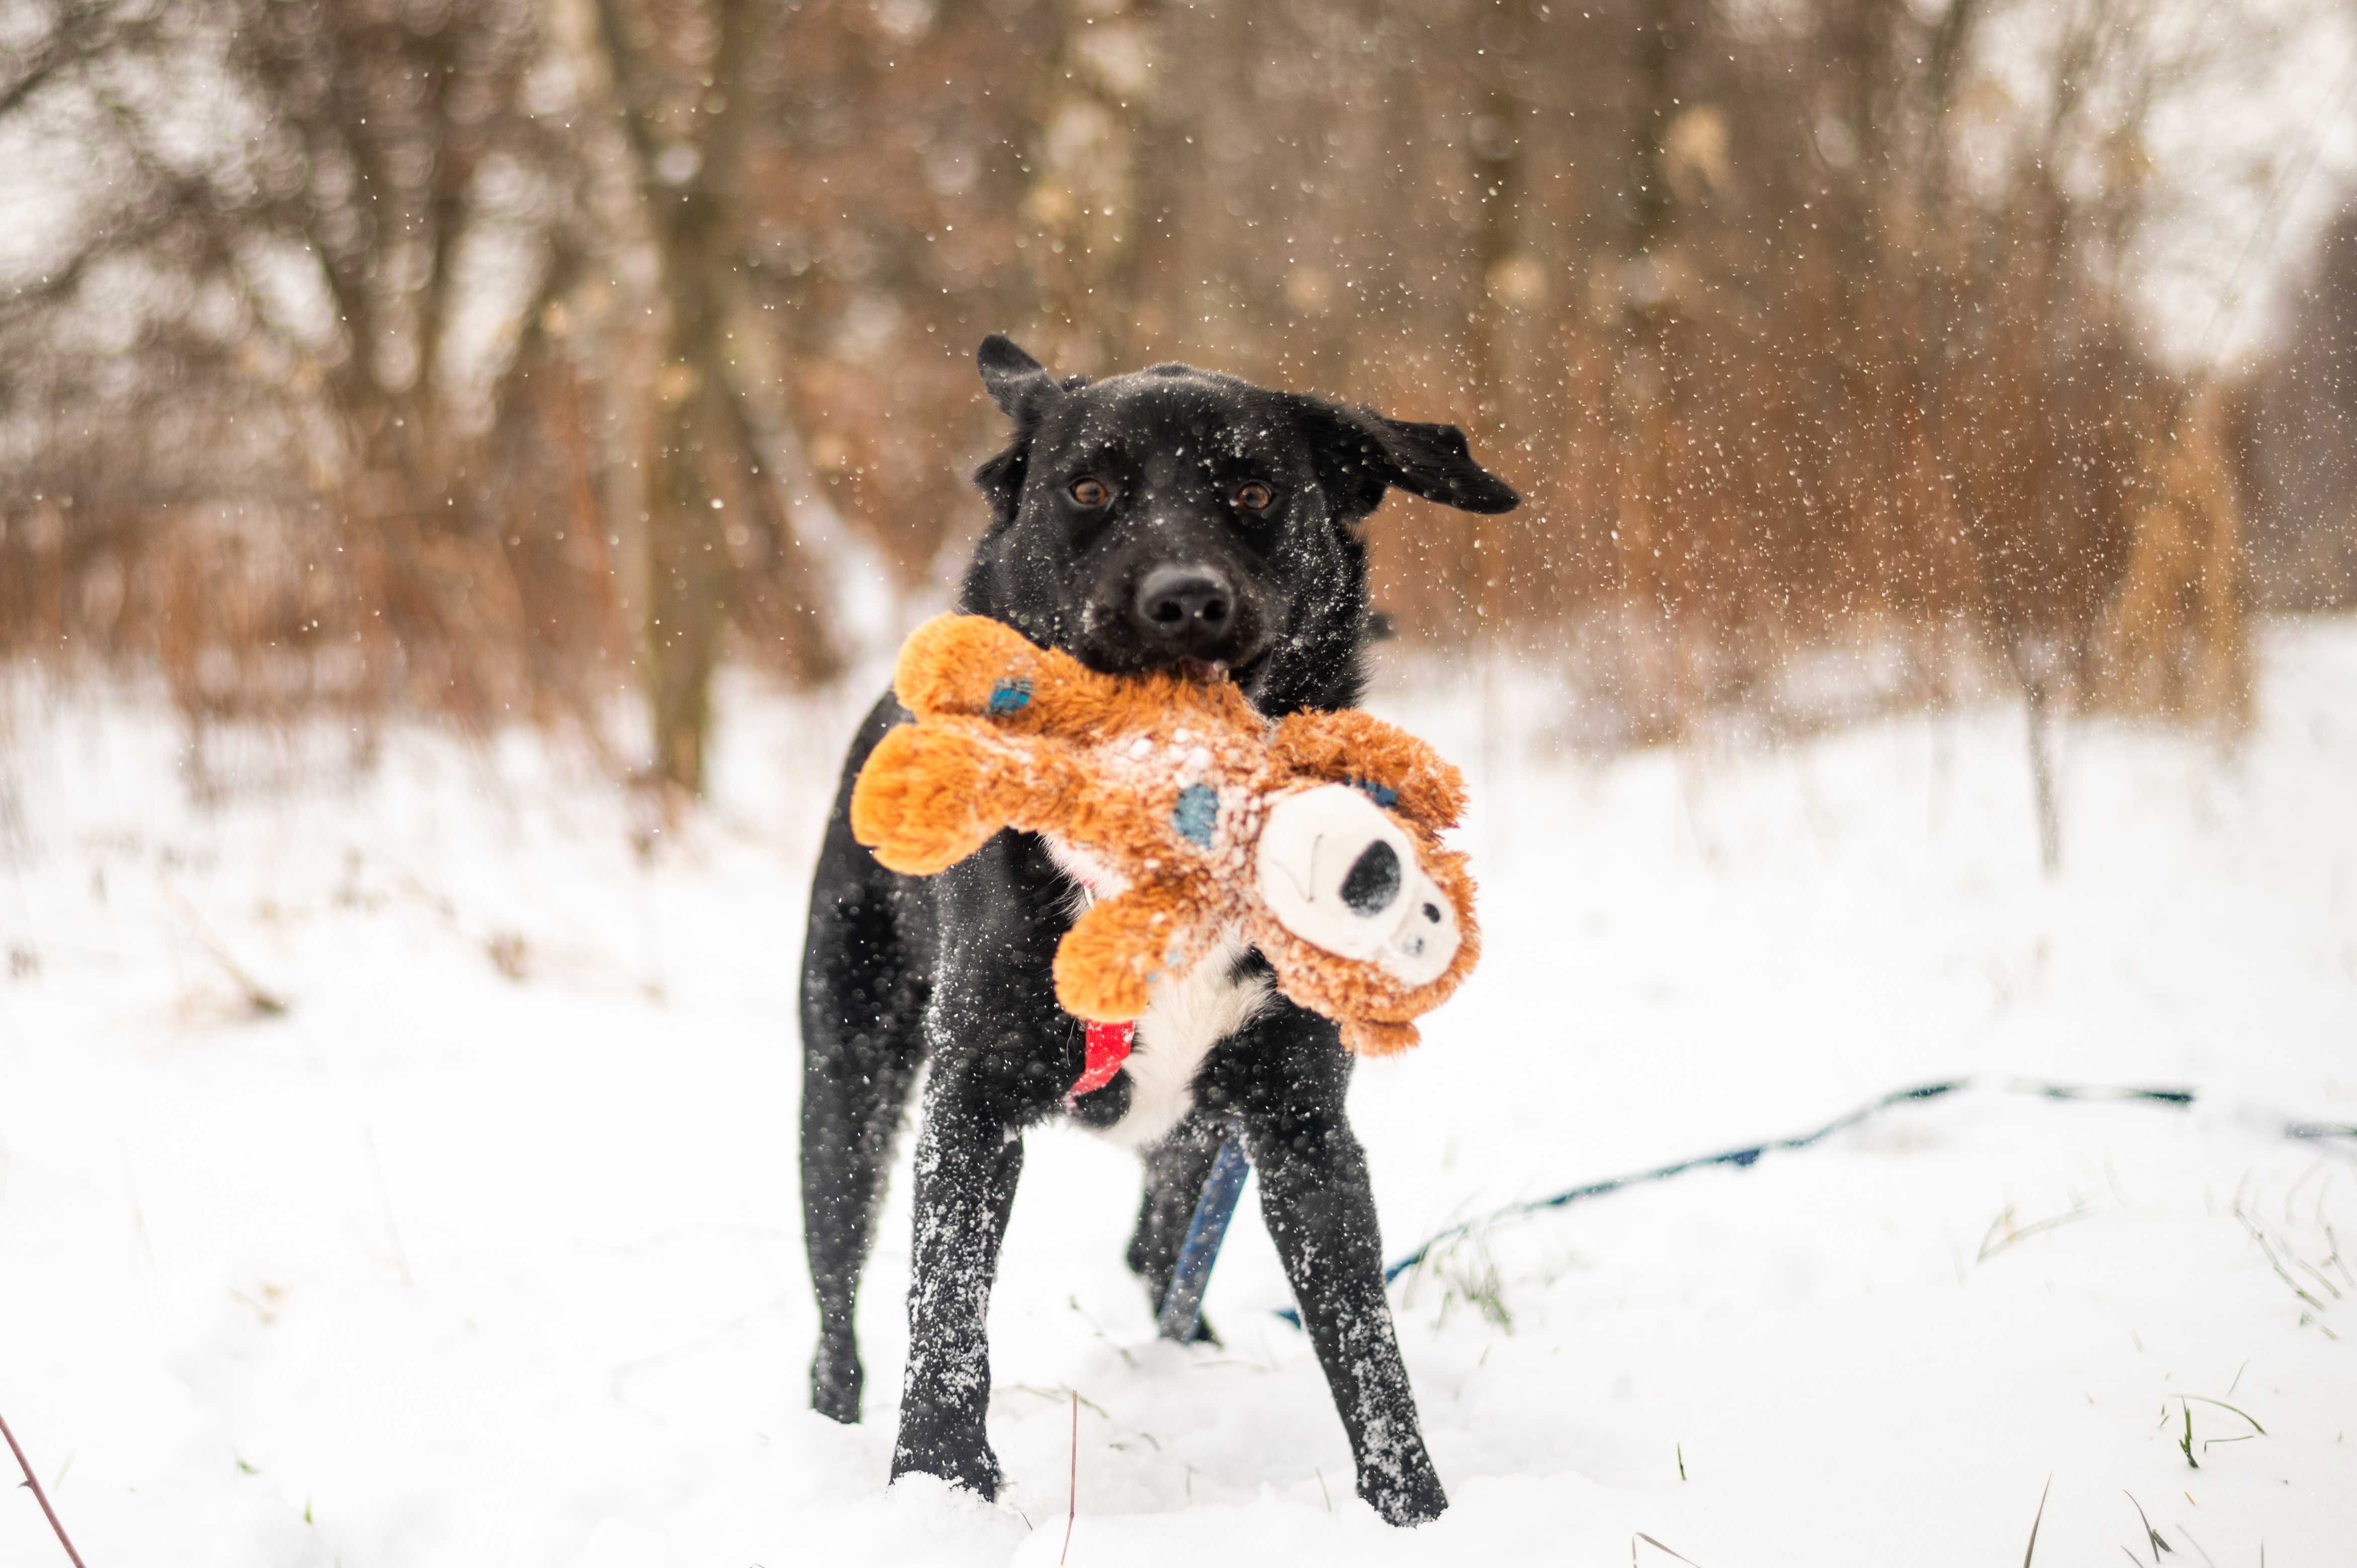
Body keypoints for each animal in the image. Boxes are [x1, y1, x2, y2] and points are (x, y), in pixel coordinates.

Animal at [801, 337, 1518, 1518]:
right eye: (1089, 489)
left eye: (1253, 489)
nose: (1184, 601)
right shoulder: (970, 1099)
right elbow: (945, 1313)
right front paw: (940, 1485)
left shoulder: (1299, 1123)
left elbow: (1363, 1342)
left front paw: (1413, 1512)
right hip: (846, 1079)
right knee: (836, 1291)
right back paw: (828, 1427)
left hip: (1197, 1134)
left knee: (1156, 1252)